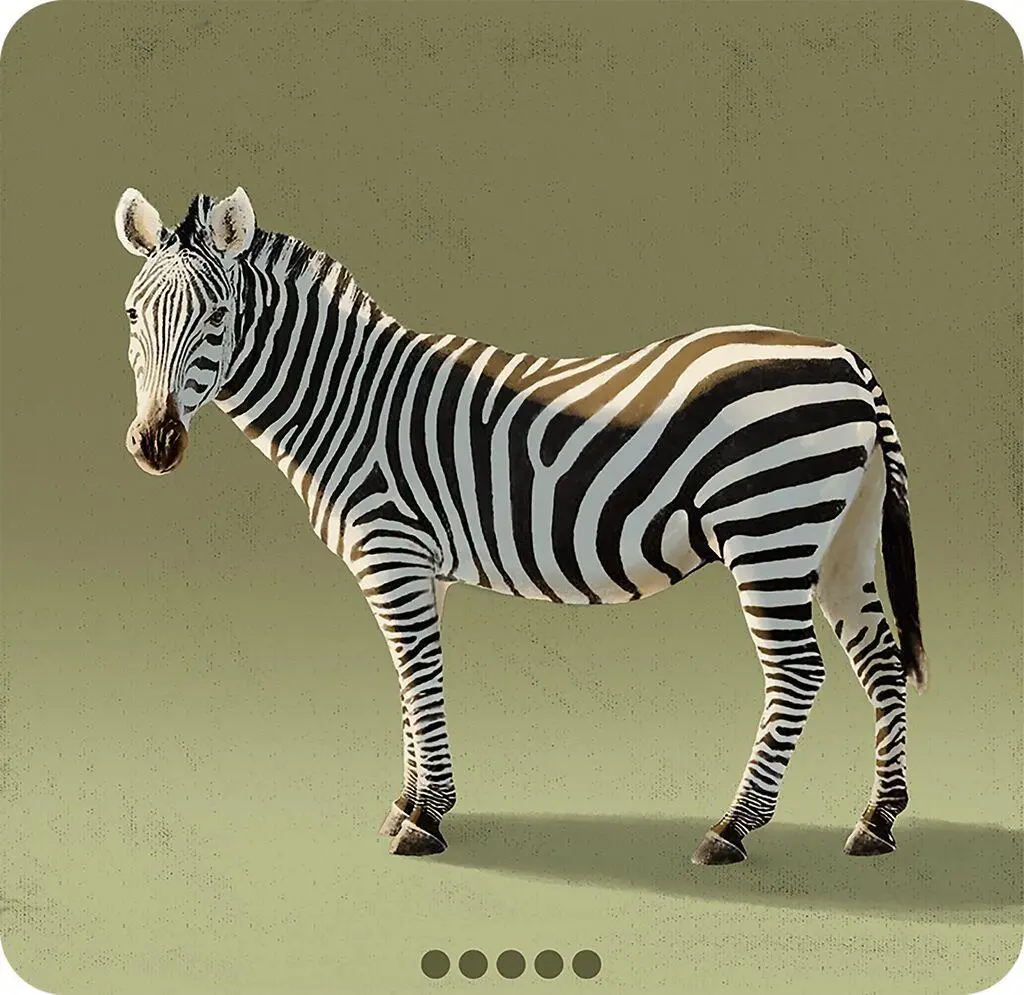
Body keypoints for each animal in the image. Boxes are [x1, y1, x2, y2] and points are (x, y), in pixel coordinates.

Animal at [115, 186, 927, 865]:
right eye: (131, 314)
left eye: (217, 319)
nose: (155, 442)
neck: (348, 399)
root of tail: (842, 355)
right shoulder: (420, 567)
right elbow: (408, 682)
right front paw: (407, 802)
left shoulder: (392, 549)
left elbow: (419, 674)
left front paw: (425, 819)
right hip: (838, 539)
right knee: (880, 660)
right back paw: (877, 820)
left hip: (769, 530)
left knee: (798, 672)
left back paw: (731, 830)